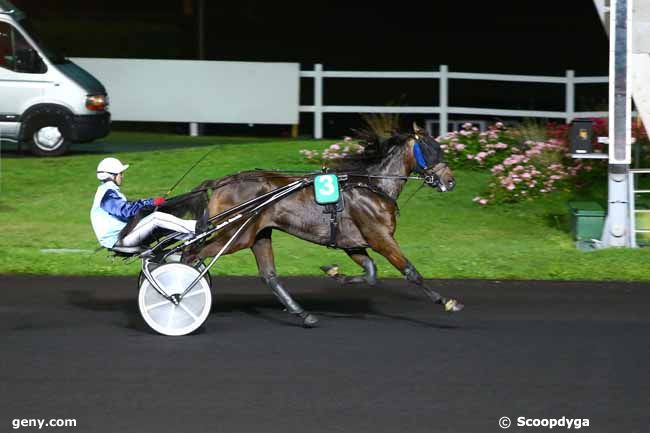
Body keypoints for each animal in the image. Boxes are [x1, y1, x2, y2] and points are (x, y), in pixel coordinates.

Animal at [185, 123, 464, 326]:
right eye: (430, 149)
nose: (450, 181)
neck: (373, 187)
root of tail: (222, 181)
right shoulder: (380, 237)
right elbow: (411, 272)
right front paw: (447, 301)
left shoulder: (353, 244)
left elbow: (371, 273)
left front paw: (334, 272)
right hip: (238, 234)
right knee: (191, 254)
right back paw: (181, 294)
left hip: (258, 234)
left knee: (269, 276)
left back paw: (303, 314)